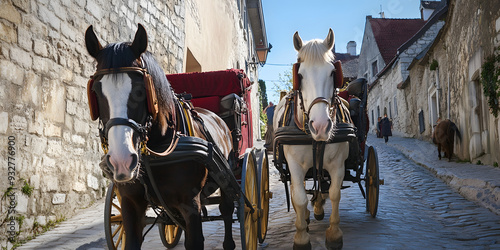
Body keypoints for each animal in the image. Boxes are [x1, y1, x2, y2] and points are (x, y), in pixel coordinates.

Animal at [85, 24, 235, 249]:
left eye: (140, 90)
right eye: (95, 91)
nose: (121, 161)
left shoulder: (190, 204)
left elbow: (195, 240)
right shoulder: (130, 204)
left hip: (228, 175)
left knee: (227, 209)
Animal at [272, 29, 350, 250]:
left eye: (333, 73)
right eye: (299, 75)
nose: (321, 126)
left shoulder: (337, 164)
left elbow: (334, 193)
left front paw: (334, 235)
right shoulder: (294, 165)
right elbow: (299, 198)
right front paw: (301, 237)